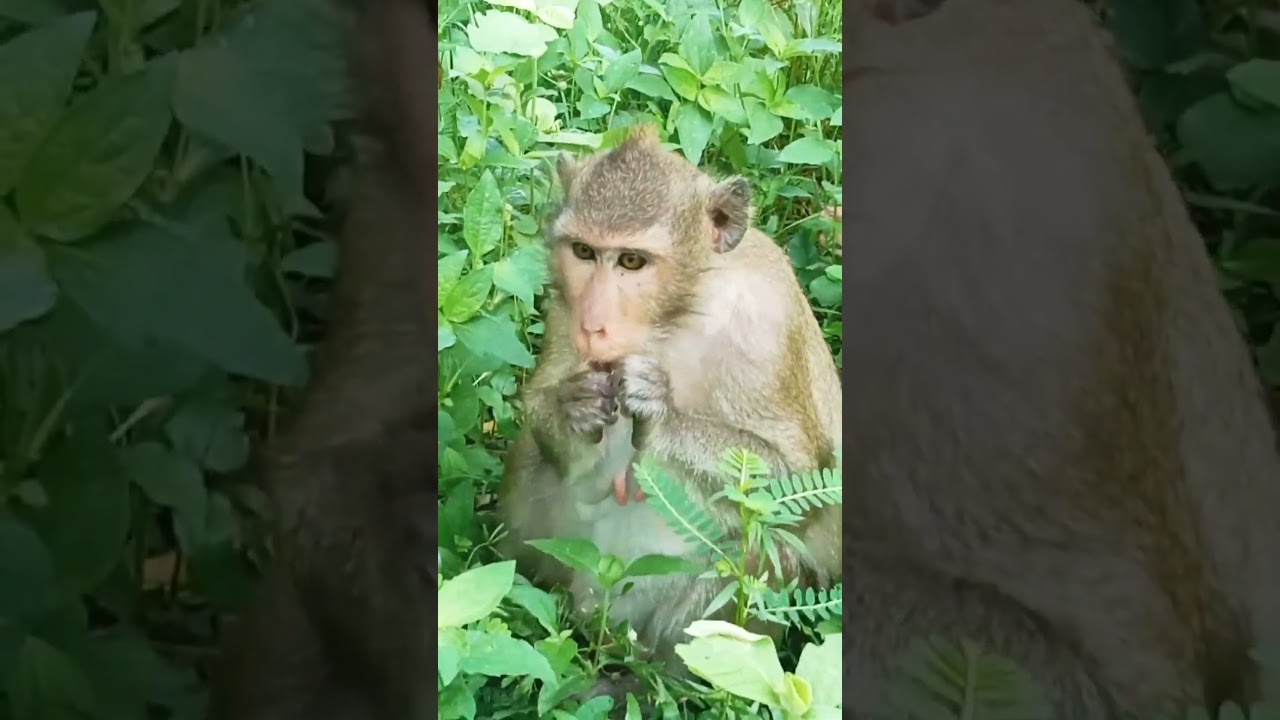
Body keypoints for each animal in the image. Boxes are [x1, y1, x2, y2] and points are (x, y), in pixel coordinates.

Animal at [496, 126, 843, 683]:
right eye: (584, 251)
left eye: (632, 261)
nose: (594, 325)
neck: (675, 318)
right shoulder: (564, 310)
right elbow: (544, 408)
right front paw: (573, 408)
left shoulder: (766, 321)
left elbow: (797, 481)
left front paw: (660, 415)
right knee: (531, 457)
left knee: (756, 543)